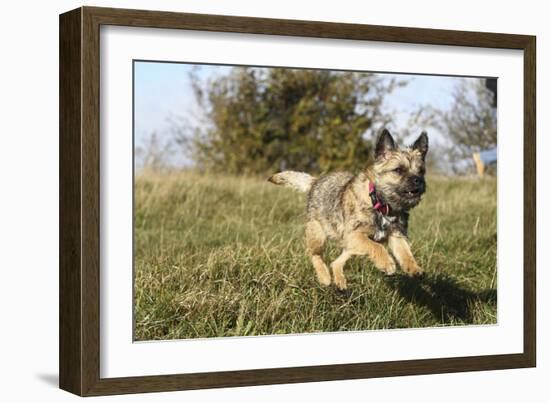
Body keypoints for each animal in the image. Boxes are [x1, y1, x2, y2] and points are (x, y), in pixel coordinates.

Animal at [270, 129, 430, 290]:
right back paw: (324, 276)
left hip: (350, 247)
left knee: (336, 262)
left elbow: (405, 253)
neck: (381, 204)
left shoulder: (396, 235)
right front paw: (386, 263)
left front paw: (414, 268)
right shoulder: (354, 235)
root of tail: (315, 181)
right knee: (314, 255)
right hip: (319, 234)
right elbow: (376, 246)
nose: (418, 180)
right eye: (398, 170)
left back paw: (339, 279)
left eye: (421, 171)